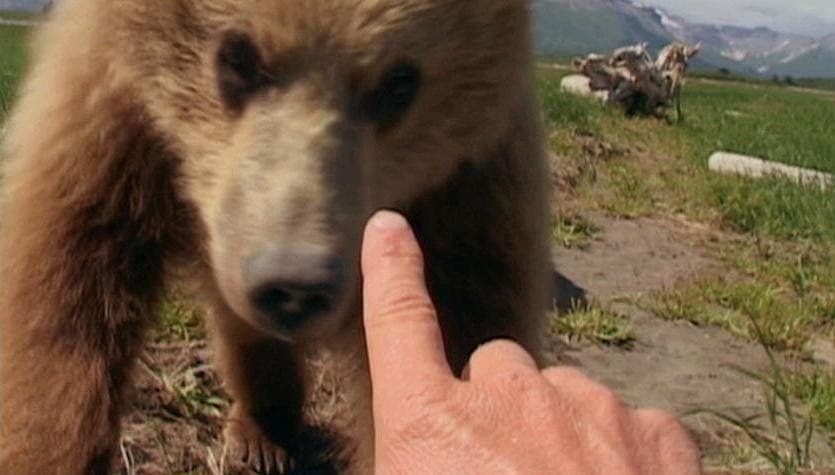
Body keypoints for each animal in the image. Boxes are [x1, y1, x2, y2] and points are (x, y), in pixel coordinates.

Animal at [0, 0, 550, 473]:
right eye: (237, 56)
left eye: (399, 83)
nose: (295, 284)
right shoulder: (110, 131)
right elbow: (62, 302)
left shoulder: (461, 197)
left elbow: (469, 323)